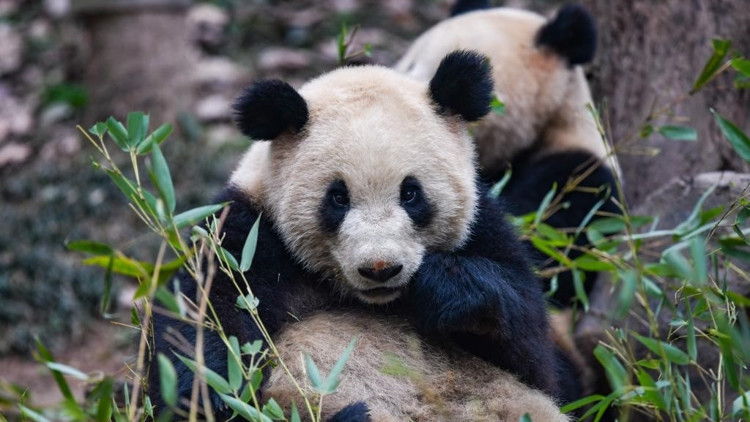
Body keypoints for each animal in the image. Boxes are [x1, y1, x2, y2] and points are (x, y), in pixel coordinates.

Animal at [150, 51, 574, 420]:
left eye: (410, 193)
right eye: (338, 197)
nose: (380, 268)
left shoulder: (483, 226)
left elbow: (533, 351)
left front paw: (444, 287)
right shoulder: (247, 235)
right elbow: (206, 327)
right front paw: (215, 391)